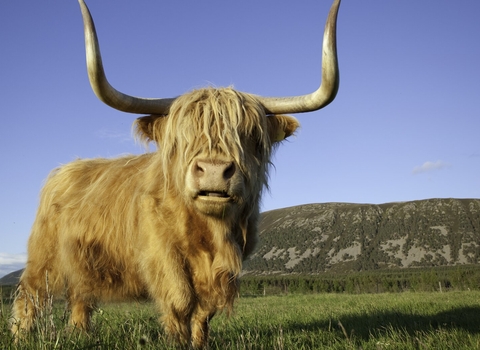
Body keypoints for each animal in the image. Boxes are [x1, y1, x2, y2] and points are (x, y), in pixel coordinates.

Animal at [11, 0, 342, 348]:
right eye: (184, 137)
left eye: (250, 135)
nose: (213, 171)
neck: (210, 235)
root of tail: (66, 168)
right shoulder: (162, 256)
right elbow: (181, 300)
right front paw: (178, 341)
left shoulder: (227, 263)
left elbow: (205, 310)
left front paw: (199, 342)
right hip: (44, 257)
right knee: (30, 294)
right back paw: (21, 337)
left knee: (80, 296)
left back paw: (80, 335)